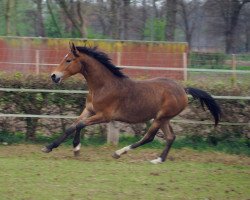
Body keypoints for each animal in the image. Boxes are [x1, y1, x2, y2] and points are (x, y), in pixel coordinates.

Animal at [41, 42, 221, 164]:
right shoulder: (89, 110)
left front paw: (74, 148)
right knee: (171, 137)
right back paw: (159, 160)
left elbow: (78, 125)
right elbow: (74, 125)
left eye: (69, 60)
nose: (53, 76)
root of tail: (183, 89)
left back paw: (119, 152)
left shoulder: (104, 116)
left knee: (149, 137)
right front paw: (52, 147)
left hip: (160, 117)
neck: (103, 86)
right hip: (164, 118)